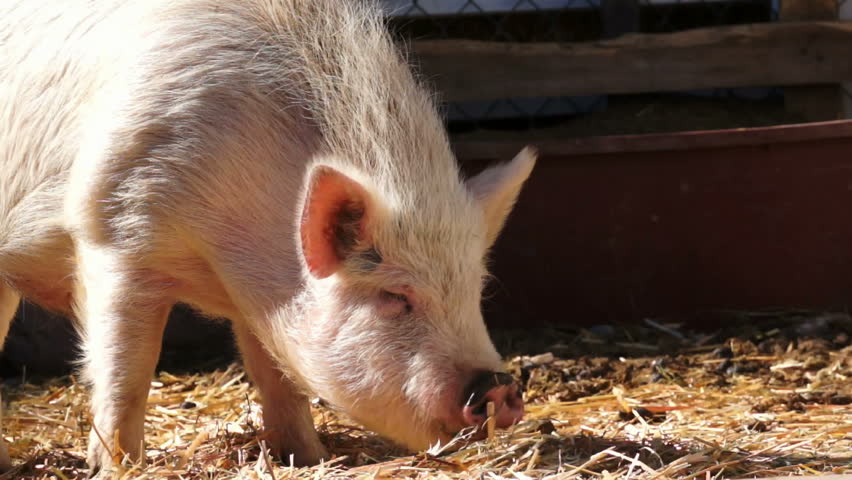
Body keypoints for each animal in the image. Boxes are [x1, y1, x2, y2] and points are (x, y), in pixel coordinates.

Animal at [0, 0, 535, 475]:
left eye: (476, 291)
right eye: (394, 295)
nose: (501, 386)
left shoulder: (258, 299)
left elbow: (279, 378)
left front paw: (312, 459)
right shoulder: (114, 228)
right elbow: (124, 373)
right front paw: (119, 468)